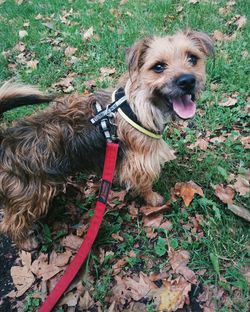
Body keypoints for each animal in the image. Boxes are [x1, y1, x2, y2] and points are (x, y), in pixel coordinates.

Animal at [0, 30, 213, 250]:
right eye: (159, 67)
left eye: (192, 58)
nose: (187, 81)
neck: (139, 105)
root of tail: (5, 138)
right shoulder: (141, 163)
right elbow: (145, 184)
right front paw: (153, 199)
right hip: (30, 195)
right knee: (10, 222)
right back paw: (25, 241)